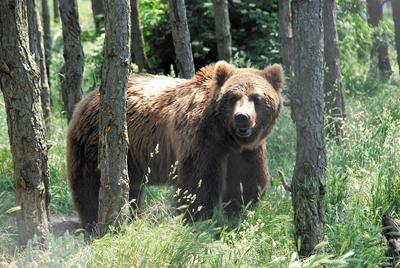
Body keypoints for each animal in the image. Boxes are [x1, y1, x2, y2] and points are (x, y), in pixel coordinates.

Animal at [67, 61, 282, 229]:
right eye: (233, 97)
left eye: (256, 98)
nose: (242, 117)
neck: (226, 136)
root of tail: (87, 99)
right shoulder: (201, 140)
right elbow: (197, 186)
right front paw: (199, 221)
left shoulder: (247, 152)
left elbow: (246, 184)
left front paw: (238, 216)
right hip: (94, 143)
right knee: (89, 185)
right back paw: (93, 222)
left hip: (131, 157)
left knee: (133, 188)